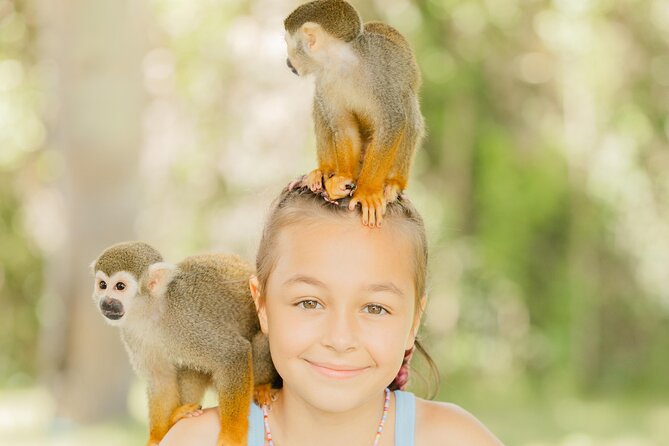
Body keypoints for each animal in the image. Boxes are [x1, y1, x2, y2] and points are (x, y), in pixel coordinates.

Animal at [90, 241, 278, 446]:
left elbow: (233, 353)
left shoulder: (185, 320)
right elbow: (161, 378)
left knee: (260, 340)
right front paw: (156, 437)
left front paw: (232, 436)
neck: (152, 312)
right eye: (102, 285)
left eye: (120, 286)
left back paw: (262, 387)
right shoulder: (132, 333)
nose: (106, 302)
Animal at [284, 0, 425, 227]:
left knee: (407, 104)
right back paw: (324, 171)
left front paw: (366, 192)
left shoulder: (380, 73)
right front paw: (341, 179)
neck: (344, 65)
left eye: (287, 44)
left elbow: (392, 122)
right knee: (320, 106)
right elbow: (344, 127)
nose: (288, 62)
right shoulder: (325, 81)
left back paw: (393, 183)